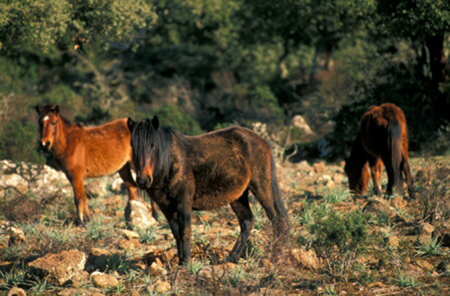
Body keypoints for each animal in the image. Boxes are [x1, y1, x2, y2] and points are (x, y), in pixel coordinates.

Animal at [127, 115, 288, 264]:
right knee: (247, 222)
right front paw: (180, 262)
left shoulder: (183, 202)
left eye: (153, 145)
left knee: (276, 218)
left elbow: (185, 231)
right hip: (238, 196)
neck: (169, 163)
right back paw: (232, 258)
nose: (143, 180)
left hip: (261, 186)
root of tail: (262, 141)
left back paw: (276, 256)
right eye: (133, 146)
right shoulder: (166, 206)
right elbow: (176, 233)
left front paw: (186, 263)